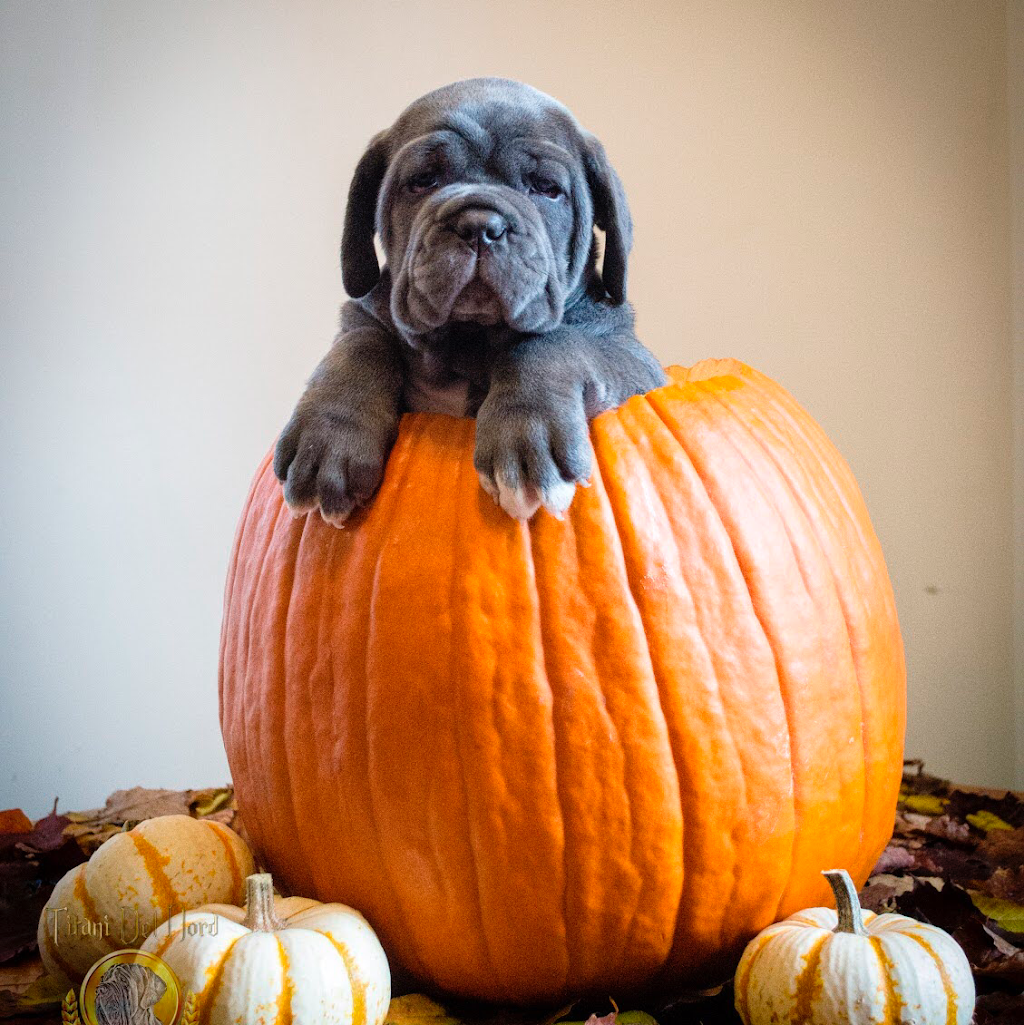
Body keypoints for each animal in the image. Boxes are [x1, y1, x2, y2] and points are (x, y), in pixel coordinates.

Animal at [276, 76, 668, 520]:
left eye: (546, 189)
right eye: (423, 180)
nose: (480, 224)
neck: (467, 343)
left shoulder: (629, 356)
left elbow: (552, 343)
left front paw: (527, 434)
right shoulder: (362, 316)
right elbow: (360, 344)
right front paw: (328, 437)